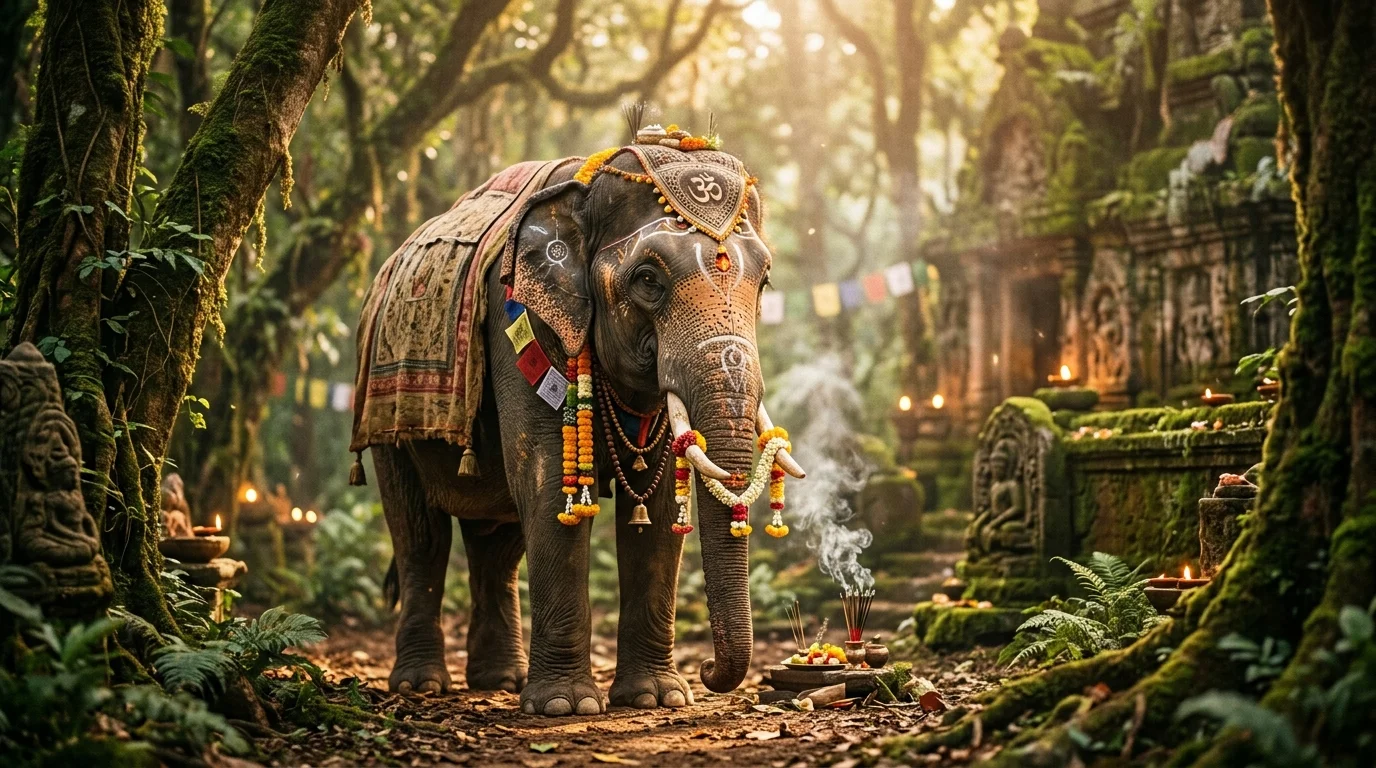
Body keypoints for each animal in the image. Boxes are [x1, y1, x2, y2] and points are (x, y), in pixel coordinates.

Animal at [357, 141, 805, 717]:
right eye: (648, 280)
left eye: (765, 281)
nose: (707, 670)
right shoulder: (518, 322)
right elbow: (548, 484)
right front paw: (564, 707)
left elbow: (660, 505)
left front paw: (655, 699)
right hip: (385, 415)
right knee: (421, 536)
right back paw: (420, 686)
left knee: (497, 544)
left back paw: (500, 681)